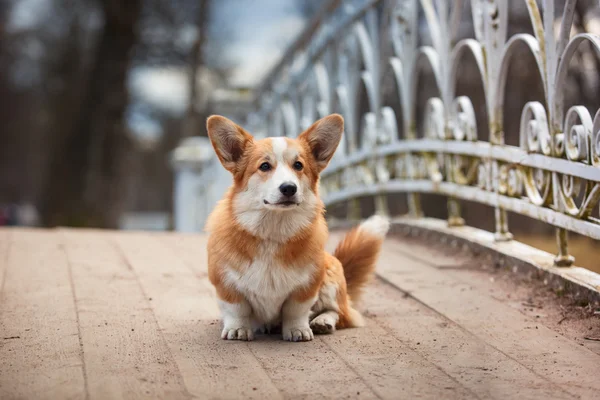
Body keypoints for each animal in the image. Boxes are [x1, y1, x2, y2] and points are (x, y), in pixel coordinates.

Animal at [205, 114, 390, 342]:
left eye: (298, 165)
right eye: (264, 166)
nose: (289, 188)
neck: (273, 230)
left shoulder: (307, 286)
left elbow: (295, 310)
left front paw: (297, 330)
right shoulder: (226, 283)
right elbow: (237, 309)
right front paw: (238, 329)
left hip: (331, 273)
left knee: (341, 313)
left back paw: (322, 322)